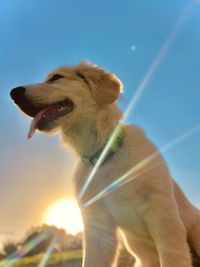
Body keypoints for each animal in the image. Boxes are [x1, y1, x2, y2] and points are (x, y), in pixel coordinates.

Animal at [10, 61, 200, 266]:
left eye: (56, 77)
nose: (13, 93)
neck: (104, 155)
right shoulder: (98, 223)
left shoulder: (161, 208)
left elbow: (173, 256)